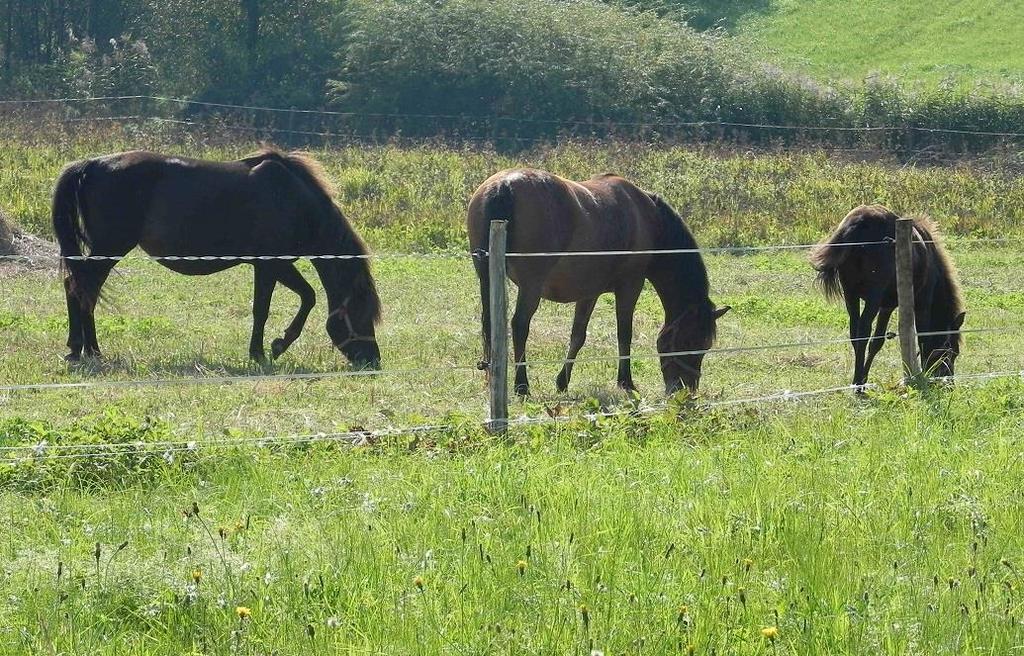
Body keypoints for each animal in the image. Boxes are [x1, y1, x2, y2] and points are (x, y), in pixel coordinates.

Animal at [51, 147, 382, 368]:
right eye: (363, 315)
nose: (373, 361)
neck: (294, 200)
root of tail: (91, 164)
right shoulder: (270, 265)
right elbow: (275, 306)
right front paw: (267, 350)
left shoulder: (276, 266)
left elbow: (301, 298)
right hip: (110, 247)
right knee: (81, 288)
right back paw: (87, 349)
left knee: (80, 288)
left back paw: (83, 349)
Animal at [468, 167, 733, 392]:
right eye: (690, 341)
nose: (685, 389)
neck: (648, 219)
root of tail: (504, 186)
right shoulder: (630, 286)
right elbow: (624, 334)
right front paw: (626, 381)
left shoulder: (589, 292)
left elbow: (577, 336)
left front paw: (562, 382)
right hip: (531, 287)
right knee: (520, 325)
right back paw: (522, 386)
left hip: (488, 278)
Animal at [811, 204, 962, 386]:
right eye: (953, 351)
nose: (949, 384)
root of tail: (858, 223)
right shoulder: (921, 304)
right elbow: (922, 338)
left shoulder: (886, 306)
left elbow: (877, 342)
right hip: (873, 297)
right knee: (863, 331)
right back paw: (858, 385)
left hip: (850, 294)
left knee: (855, 333)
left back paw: (857, 382)